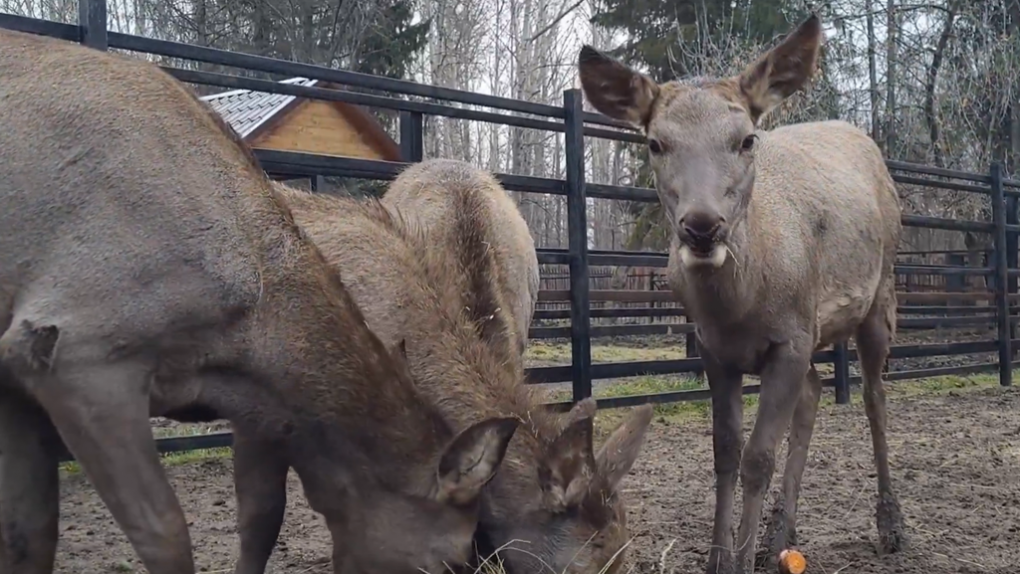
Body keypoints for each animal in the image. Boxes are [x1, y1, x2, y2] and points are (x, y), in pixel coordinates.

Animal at [579, 13, 905, 574]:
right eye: (655, 143)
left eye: (747, 140)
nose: (702, 226)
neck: (741, 304)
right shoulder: (717, 350)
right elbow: (726, 453)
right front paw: (719, 558)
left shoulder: (790, 338)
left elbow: (757, 458)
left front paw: (741, 555)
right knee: (816, 389)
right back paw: (781, 534)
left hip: (879, 295)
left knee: (874, 397)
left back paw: (890, 525)